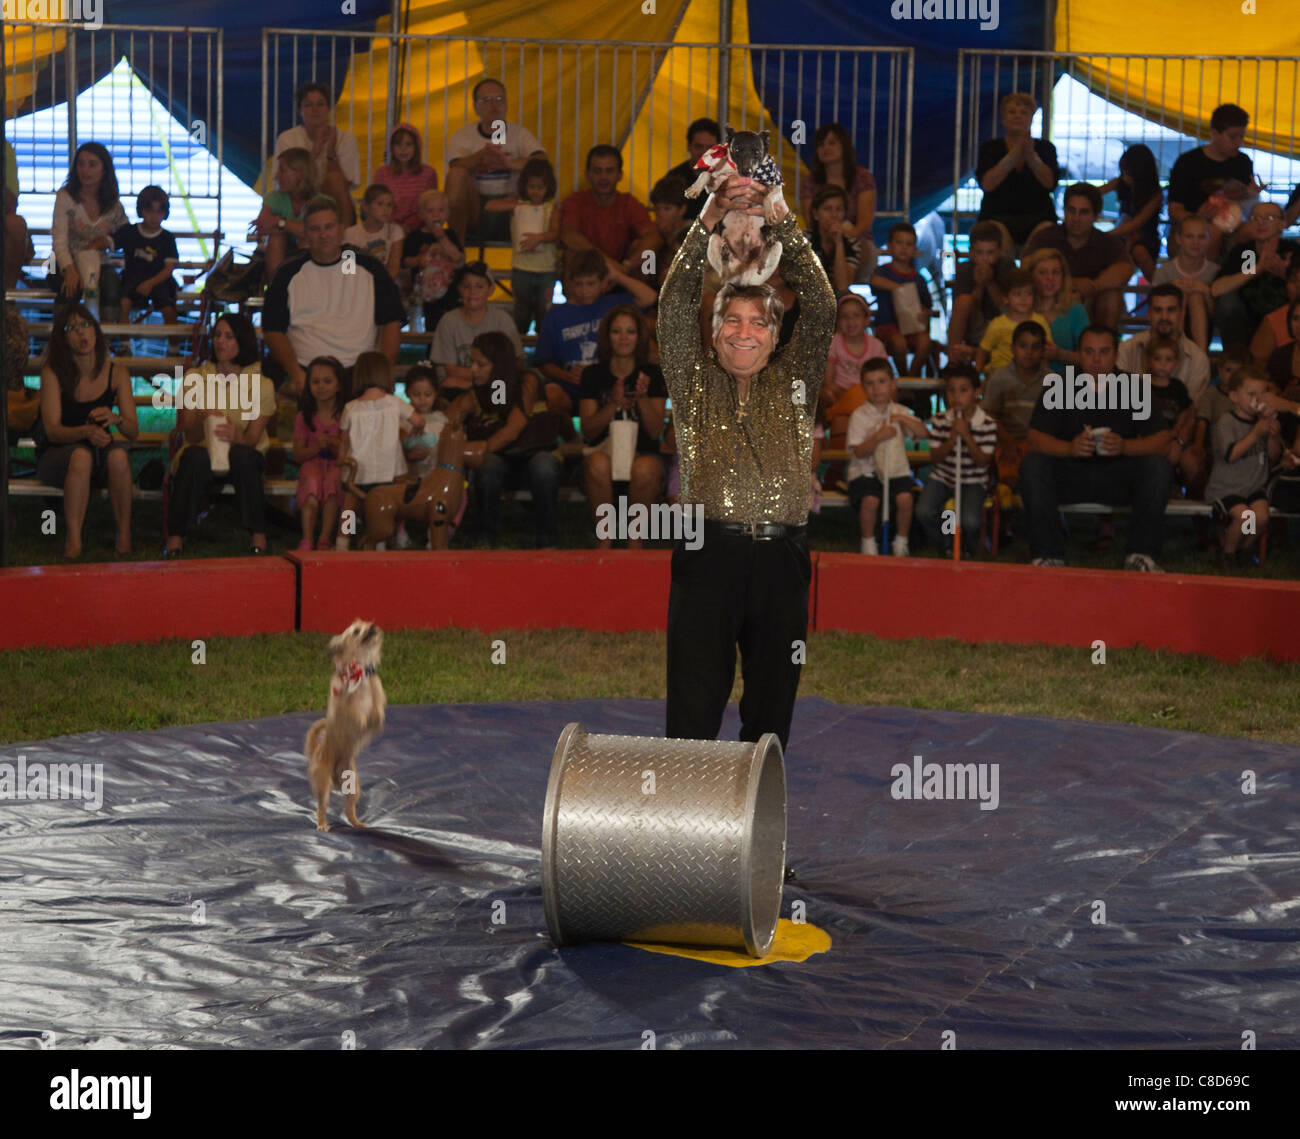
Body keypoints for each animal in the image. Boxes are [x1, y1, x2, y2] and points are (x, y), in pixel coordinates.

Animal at [304, 624, 384, 826]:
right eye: (356, 631)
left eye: (368, 623)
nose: (372, 627)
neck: (359, 673)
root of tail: (317, 751)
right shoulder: (343, 706)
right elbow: (355, 713)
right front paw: (361, 718)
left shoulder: (376, 694)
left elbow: (377, 712)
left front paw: (374, 717)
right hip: (323, 781)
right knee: (321, 806)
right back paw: (322, 824)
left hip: (353, 785)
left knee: (349, 809)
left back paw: (358, 823)